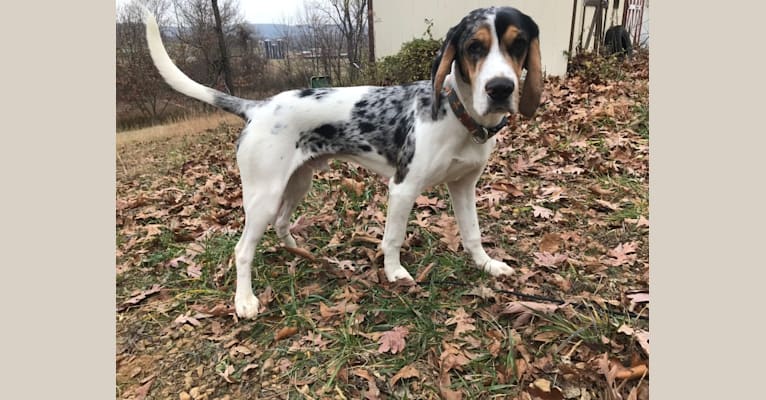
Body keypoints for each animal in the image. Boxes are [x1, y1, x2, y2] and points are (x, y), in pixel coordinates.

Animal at [141, 6, 544, 318]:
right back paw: (245, 301)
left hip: (298, 182)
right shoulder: (403, 188)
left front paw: (487, 265)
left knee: (282, 224)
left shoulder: (463, 185)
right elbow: (393, 238)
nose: (500, 89)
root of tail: (257, 107)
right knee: (242, 250)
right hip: (264, 195)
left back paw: (303, 254)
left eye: (518, 44)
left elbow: (472, 234)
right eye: (474, 47)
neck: (457, 115)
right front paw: (395, 274)